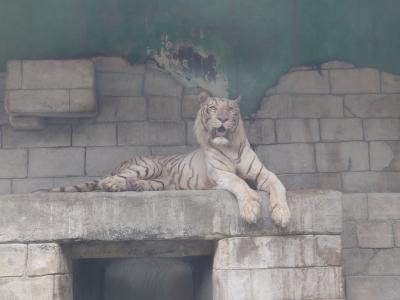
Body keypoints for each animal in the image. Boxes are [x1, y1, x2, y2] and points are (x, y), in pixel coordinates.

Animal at [53, 92, 290, 226]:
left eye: (230, 109)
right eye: (213, 108)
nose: (222, 118)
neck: (230, 146)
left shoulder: (263, 173)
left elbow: (278, 185)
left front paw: (282, 214)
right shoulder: (222, 174)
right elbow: (240, 183)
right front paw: (251, 209)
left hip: (160, 181)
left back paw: (137, 186)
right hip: (148, 165)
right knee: (113, 179)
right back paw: (112, 184)